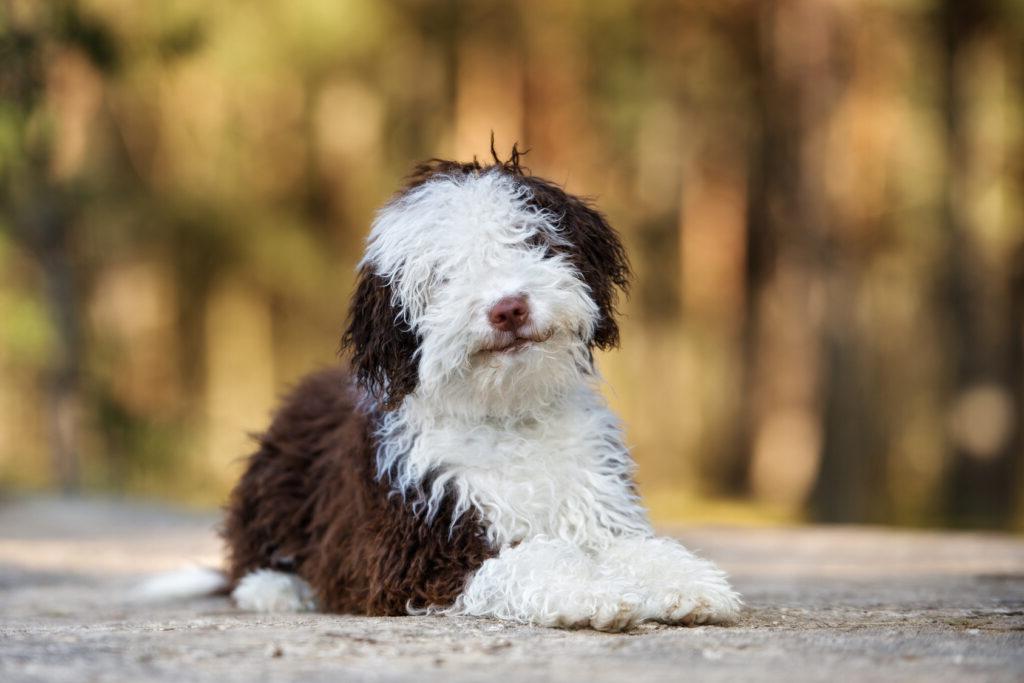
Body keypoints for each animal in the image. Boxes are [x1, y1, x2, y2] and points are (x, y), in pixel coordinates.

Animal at [218, 149, 745, 630]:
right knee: (249, 559)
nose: (508, 308)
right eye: (442, 276)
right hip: (278, 480)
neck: (508, 416)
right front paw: (589, 592)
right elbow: (527, 559)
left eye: (531, 240)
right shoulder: (412, 555)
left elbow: (636, 548)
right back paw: (276, 589)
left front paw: (684, 582)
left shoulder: (598, 508)